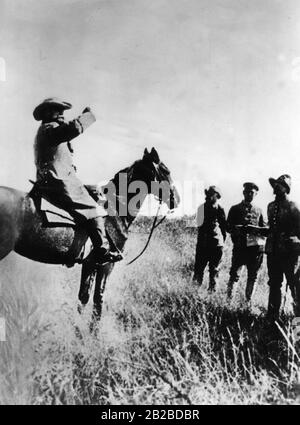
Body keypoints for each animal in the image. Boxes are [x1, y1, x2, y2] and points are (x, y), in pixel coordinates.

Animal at [0, 147, 178, 322]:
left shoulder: (89, 264)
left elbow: (83, 299)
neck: (115, 208)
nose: (177, 199)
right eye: (166, 171)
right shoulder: (105, 265)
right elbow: (98, 301)